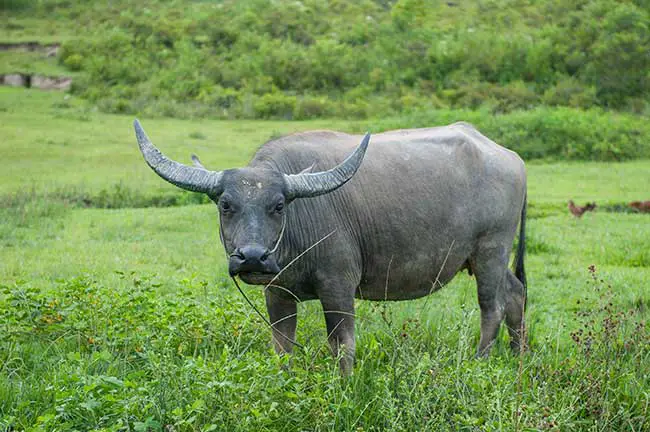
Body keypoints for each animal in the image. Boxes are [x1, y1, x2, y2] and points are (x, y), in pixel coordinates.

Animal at [134, 120, 524, 372]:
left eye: (279, 205)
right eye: (226, 204)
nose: (253, 258)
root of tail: (512, 159)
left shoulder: (338, 287)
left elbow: (342, 347)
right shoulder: (277, 294)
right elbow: (281, 347)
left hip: (491, 250)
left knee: (492, 307)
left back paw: (479, 363)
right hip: (489, 257)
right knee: (516, 293)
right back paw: (519, 356)